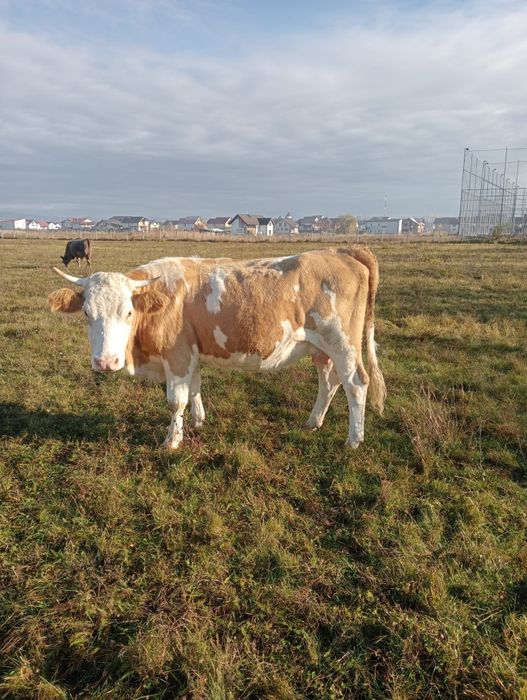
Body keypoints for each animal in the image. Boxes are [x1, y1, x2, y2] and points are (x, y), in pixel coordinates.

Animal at [48, 247, 386, 449]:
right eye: (87, 313)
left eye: (128, 312)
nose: (105, 362)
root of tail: (340, 250)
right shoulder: (191, 352)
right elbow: (195, 389)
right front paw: (197, 422)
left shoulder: (178, 355)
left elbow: (176, 401)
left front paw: (172, 441)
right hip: (321, 348)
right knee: (329, 382)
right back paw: (313, 422)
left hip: (342, 343)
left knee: (356, 384)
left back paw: (354, 440)